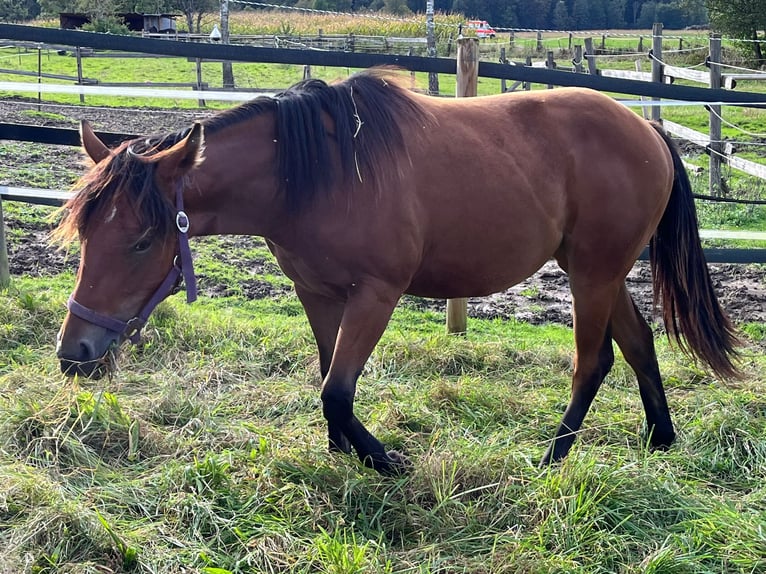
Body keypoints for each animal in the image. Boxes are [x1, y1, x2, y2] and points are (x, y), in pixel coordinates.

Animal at [52, 67, 736, 474]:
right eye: (85, 232)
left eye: (143, 240)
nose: (74, 353)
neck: (314, 172)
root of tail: (647, 129)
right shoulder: (317, 293)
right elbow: (328, 380)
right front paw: (342, 456)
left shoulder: (376, 295)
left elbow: (337, 390)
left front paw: (382, 461)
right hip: (597, 269)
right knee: (639, 342)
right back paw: (659, 438)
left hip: (592, 273)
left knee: (592, 362)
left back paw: (551, 457)